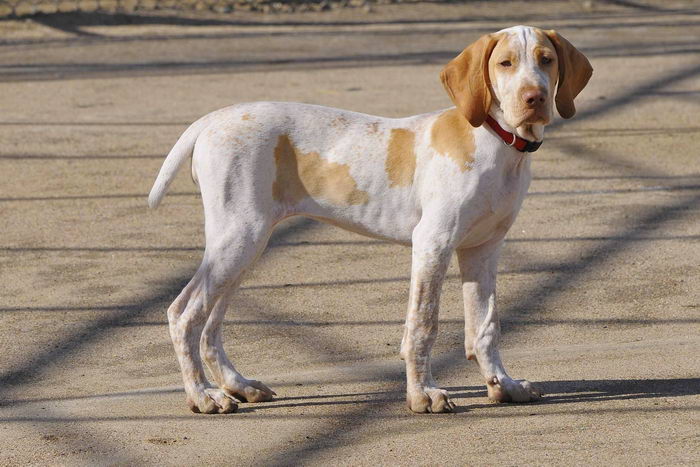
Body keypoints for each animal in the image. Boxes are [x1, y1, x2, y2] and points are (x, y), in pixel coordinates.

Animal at [148, 25, 592, 414]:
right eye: (505, 63)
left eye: (546, 60)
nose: (535, 97)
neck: (497, 143)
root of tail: (211, 119)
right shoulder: (432, 243)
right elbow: (422, 325)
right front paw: (422, 395)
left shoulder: (482, 249)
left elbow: (485, 327)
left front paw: (503, 385)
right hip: (240, 238)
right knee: (184, 315)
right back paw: (203, 396)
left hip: (245, 246)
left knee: (210, 324)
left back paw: (236, 385)